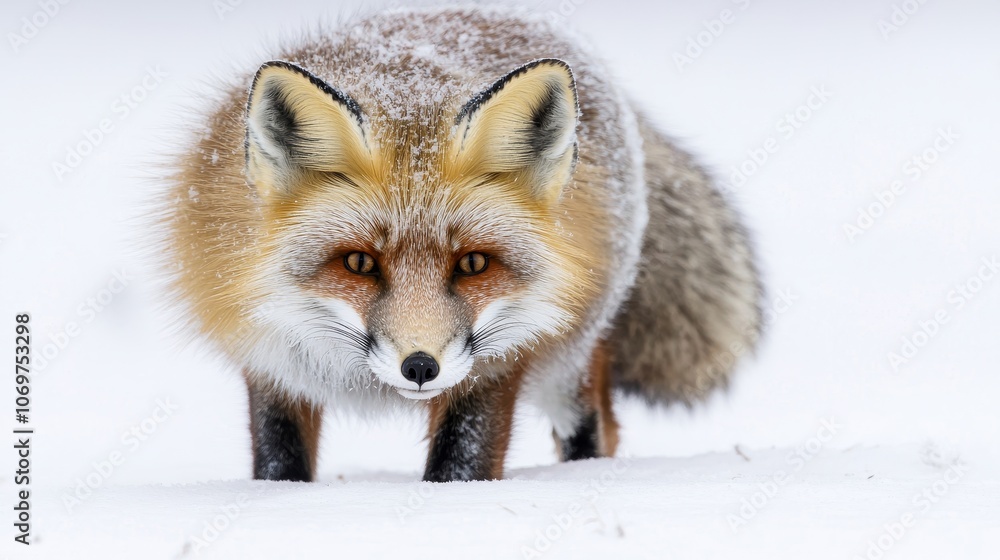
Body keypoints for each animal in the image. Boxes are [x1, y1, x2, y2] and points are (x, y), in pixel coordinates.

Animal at [157, 6, 762, 483]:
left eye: (473, 263)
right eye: (358, 262)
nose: (420, 367)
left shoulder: (497, 363)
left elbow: (461, 465)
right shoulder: (272, 359)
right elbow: (279, 464)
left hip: (567, 356)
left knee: (596, 426)